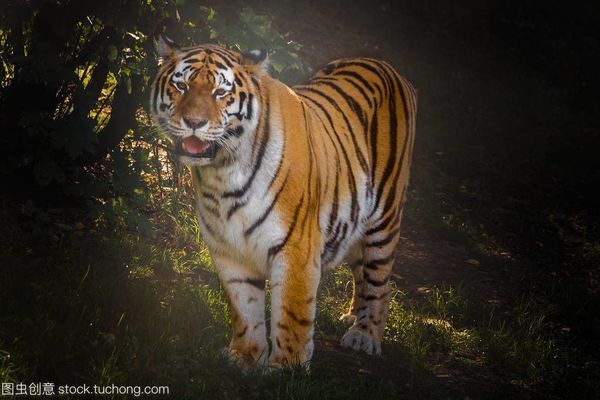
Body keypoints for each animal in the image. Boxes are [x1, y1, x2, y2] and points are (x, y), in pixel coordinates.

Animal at [150, 35, 418, 368]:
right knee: (362, 271)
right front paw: (245, 357)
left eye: (220, 92)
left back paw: (365, 335)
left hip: (383, 219)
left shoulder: (297, 246)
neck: (222, 173)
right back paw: (352, 317)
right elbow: (244, 308)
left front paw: (287, 367)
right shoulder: (227, 249)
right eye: (181, 86)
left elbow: (292, 312)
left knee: (380, 280)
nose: (194, 122)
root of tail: (386, 66)